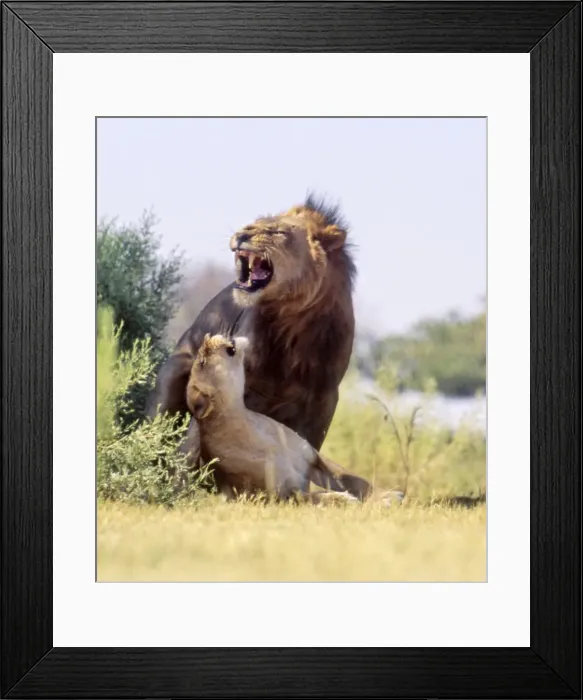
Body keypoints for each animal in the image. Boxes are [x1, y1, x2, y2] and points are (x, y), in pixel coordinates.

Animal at [148, 195, 356, 458]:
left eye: (278, 231)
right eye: (255, 222)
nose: (241, 234)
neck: (293, 324)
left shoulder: (322, 405)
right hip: (167, 388)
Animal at [186, 333, 372, 503]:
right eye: (202, 362)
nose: (208, 337)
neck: (252, 426)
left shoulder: (311, 455)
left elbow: (349, 477)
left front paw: (370, 493)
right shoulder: (279, 494)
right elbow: (315, 498)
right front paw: (347, 499)